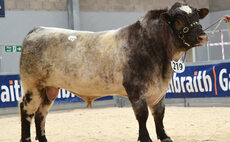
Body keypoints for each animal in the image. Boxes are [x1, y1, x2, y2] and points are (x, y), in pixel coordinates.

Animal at [19, 2, 209, 142]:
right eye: (179, 20)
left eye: (197, 16)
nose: (202, 37)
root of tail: (37, 30)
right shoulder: (136, 89)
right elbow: (142, 115)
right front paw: (145, 138)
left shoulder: (160, 90)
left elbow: (159, 115)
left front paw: (165, 137)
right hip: (32, 87)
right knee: (26, 110)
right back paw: (26, 138)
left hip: (49, 90)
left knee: (41, 114)